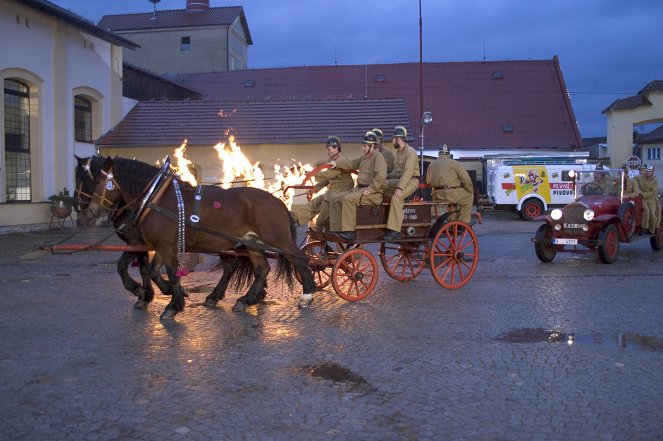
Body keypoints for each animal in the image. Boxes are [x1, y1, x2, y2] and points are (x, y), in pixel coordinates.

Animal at [87, 156, 316, 318]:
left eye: (98, 180)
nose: (92, 210)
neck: (158, 198)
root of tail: (278, 202)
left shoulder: (163, 245)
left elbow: (170, 273)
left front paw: (172, 304)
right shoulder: (160, 245)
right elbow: (152, 270)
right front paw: (162, 293)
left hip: (277, 240)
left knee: (300, 258)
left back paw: (307, 294)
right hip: (253, 243)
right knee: (262, 270)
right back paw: (244, 300)